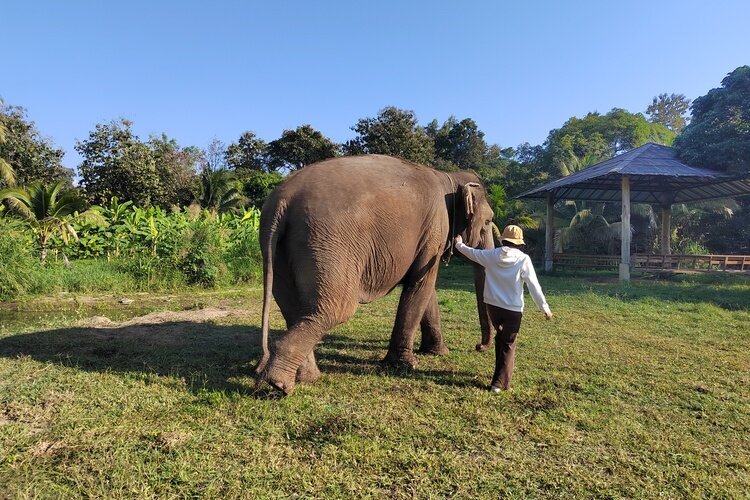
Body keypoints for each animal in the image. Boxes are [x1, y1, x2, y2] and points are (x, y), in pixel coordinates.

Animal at [255, 154, 495, 394]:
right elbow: (421, 285)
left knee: (296, 310)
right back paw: (279, 384)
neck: (449, 177)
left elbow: (425, 289)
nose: (479, 347)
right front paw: (406, 365)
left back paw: (307, 379)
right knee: (336, 309)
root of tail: (282, 201)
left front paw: (437, 352)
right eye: (488, 221)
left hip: (280, 250)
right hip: (327, 242)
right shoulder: (435, 229)